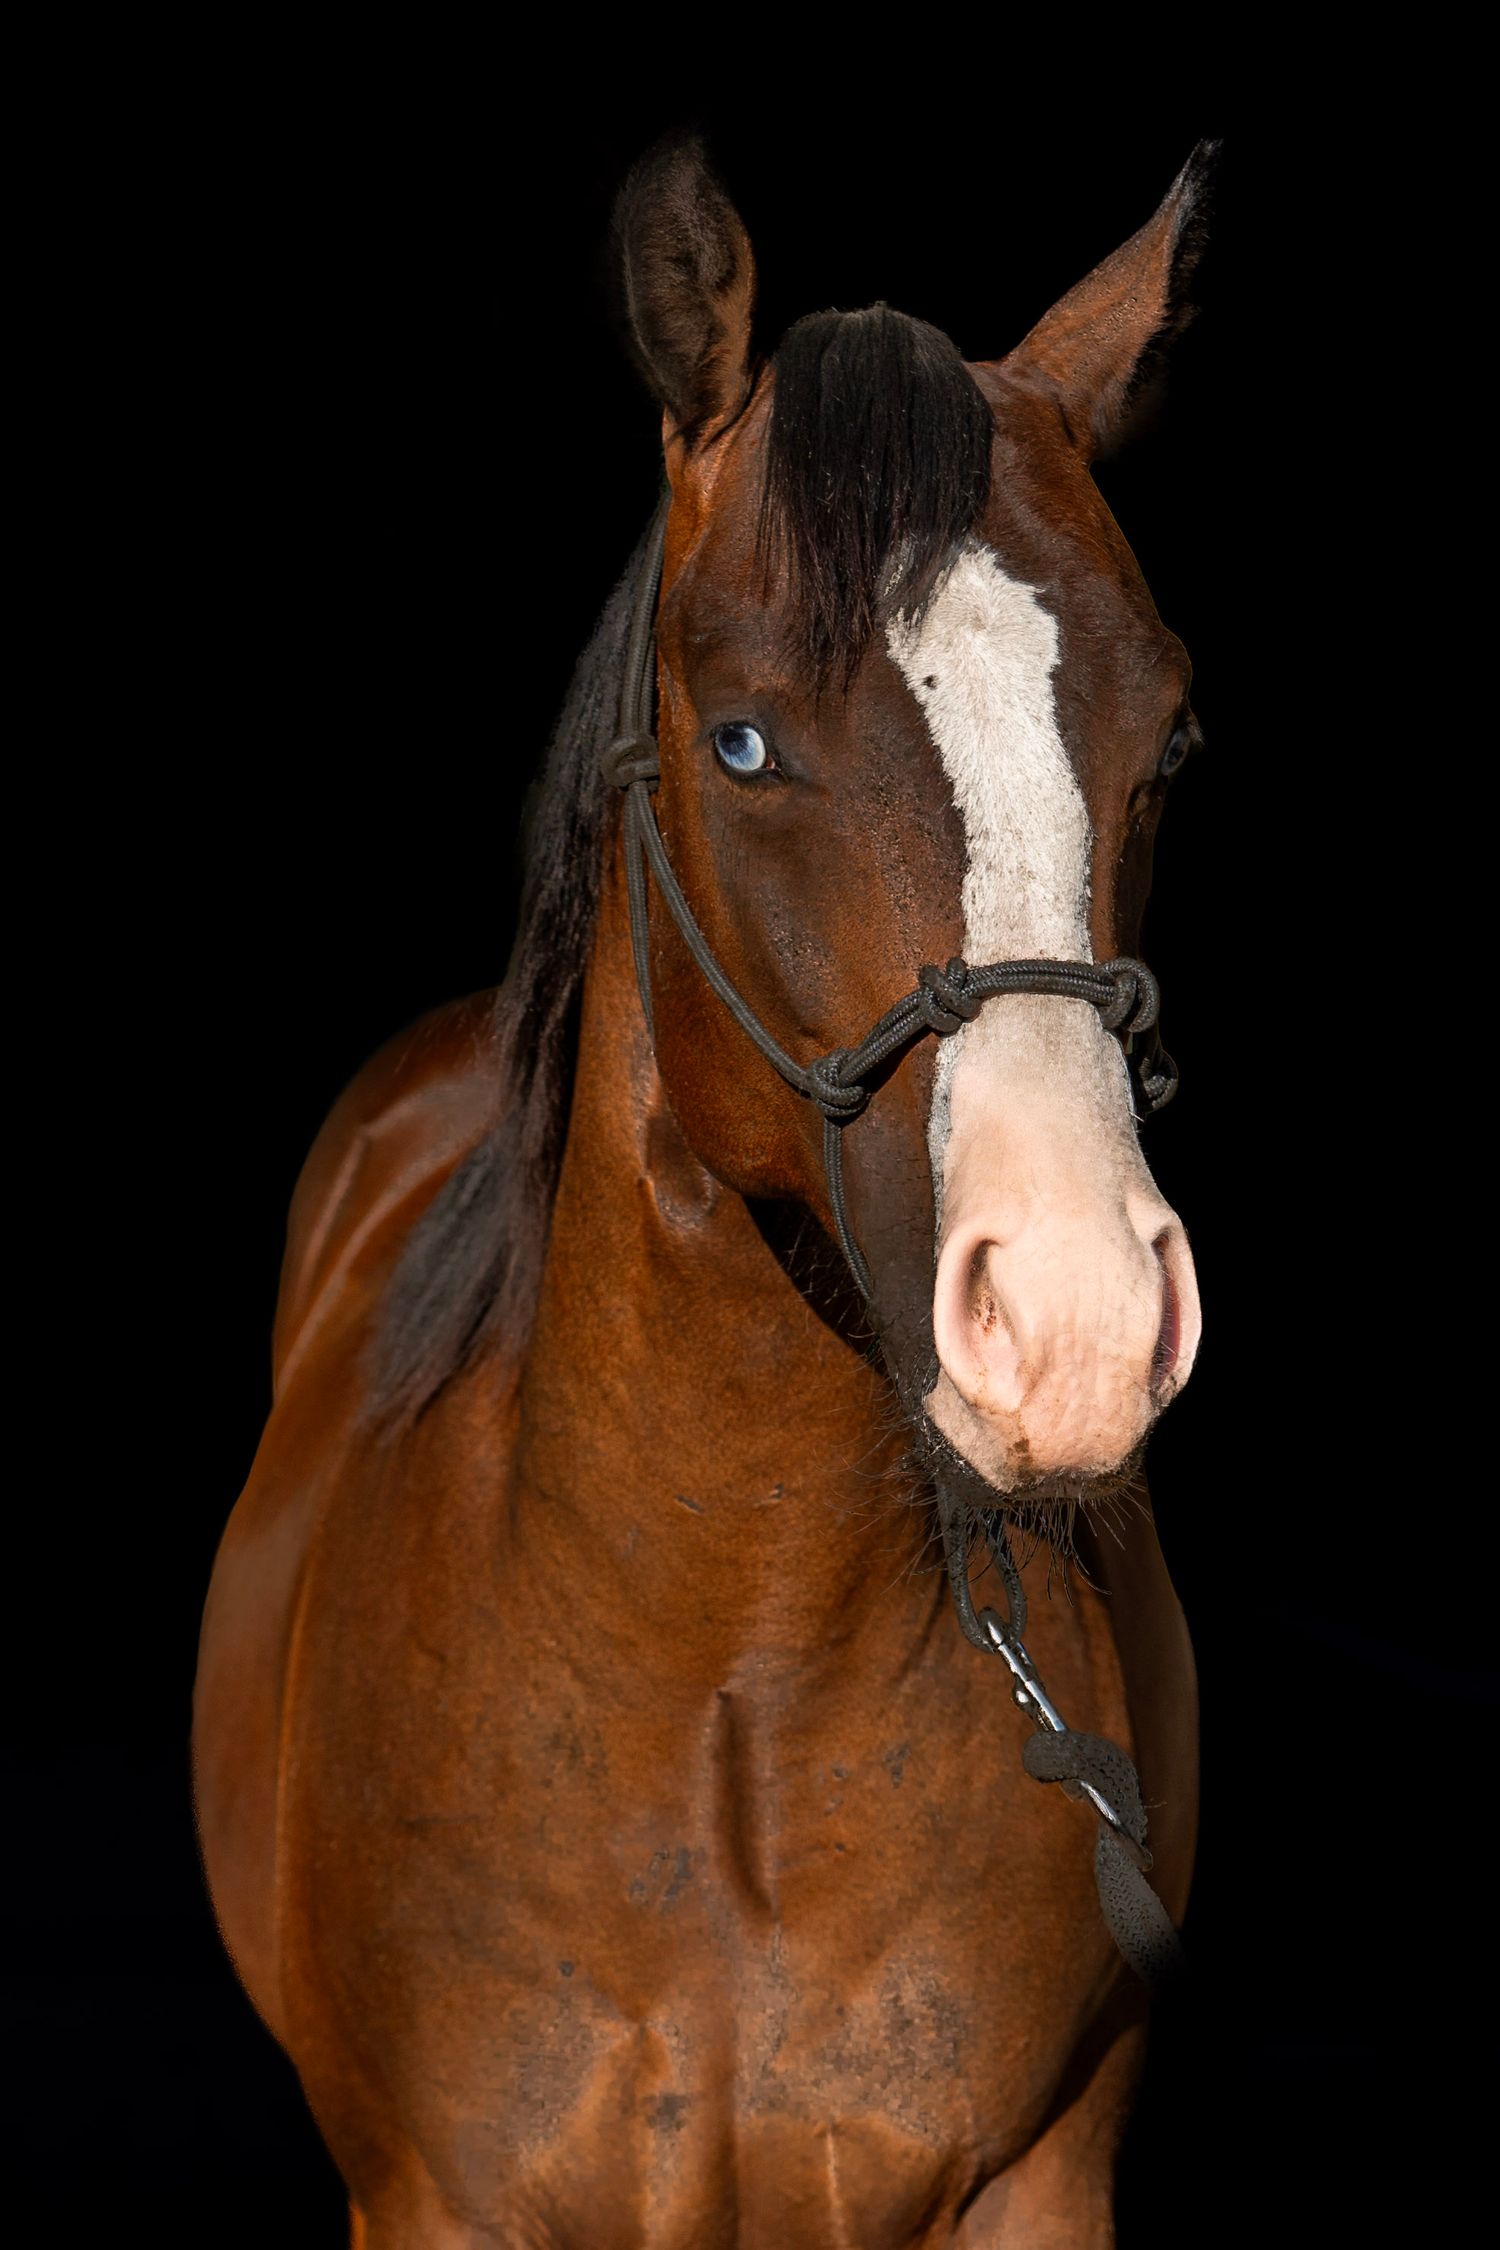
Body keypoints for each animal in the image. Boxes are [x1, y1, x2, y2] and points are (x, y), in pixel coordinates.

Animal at [194, 130, 1214, 2248]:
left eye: (1169, 739)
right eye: (741, 740)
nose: (1074, 1325)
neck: (730, 1687)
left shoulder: (1035, 2191)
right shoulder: (436, 2204)